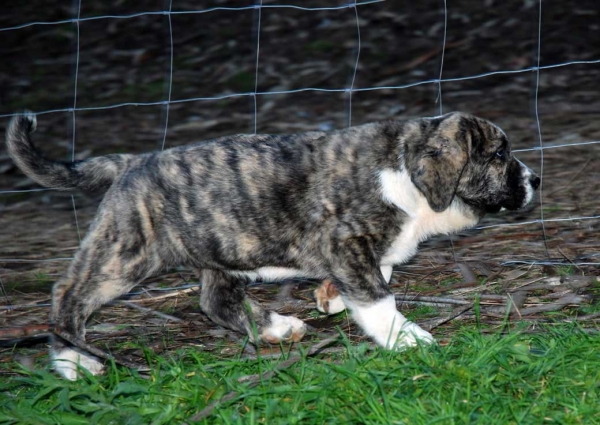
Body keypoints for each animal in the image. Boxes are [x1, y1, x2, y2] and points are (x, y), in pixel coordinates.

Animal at [5, 110, 540, 378]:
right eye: (499, 155)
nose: (535, 180)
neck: (406, 166)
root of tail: (132, 163)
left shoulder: (360, 251)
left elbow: (375, 275)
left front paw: (330, 297)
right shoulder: (346, 240)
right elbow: (378, 296)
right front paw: (406, 338)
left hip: (220, 250)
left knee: (214, 299)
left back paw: (275, 328)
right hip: (127, 252)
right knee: (68, 292)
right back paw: (72, 360)